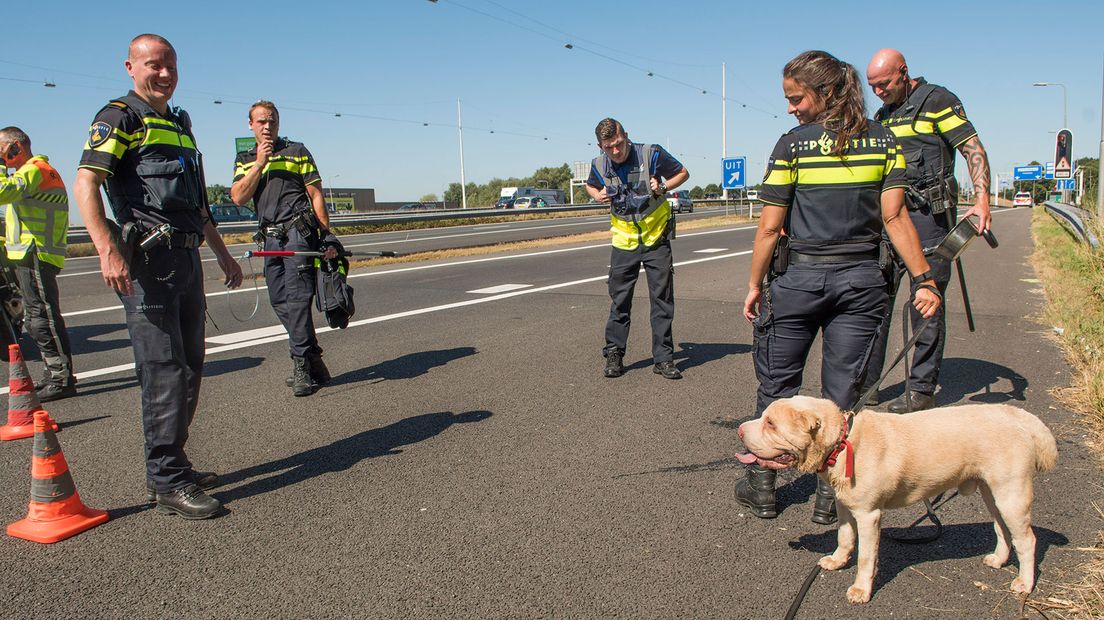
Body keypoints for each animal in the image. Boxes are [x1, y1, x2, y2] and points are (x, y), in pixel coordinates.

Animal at [737, 392, 1055, 600]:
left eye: (771, 424)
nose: (740, 430)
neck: (841, 444)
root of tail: (1019, 416)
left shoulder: (869, 515)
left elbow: (866, 557)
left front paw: (861, 590)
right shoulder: (844, 506)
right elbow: (845, 537)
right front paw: (838, 561)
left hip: (1012, 493)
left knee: (1027, 540)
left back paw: (1024, 583)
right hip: (992, 491)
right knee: (1001, 527)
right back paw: (999, 559)